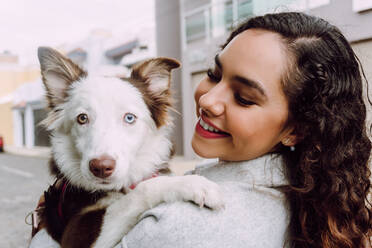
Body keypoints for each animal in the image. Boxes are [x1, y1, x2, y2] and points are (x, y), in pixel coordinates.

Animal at [35, 47, 221, 248]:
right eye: (82, 118)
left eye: (129, 118)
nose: (101, 168)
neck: (121, 186)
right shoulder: (75, 234)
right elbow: (143, 189)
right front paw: (192, 183)